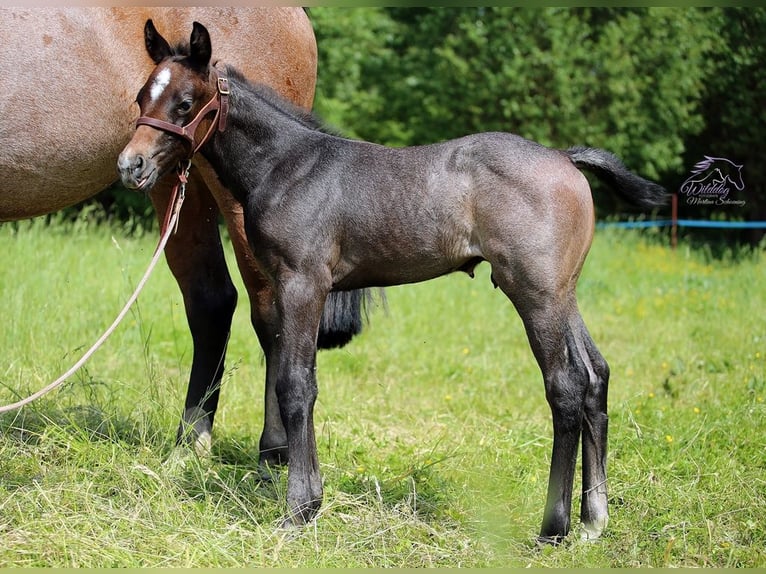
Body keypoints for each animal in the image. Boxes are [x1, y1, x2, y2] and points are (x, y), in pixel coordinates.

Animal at [0, 8, 371, 469]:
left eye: (185, 102)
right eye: (140, 98)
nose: (129, 164)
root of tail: (296, 12)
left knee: (269, 310)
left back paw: (273, 452)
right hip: (181, 184)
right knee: (212, 300)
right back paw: (192, 442)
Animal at [117, 21, 668, 544]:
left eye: (185, 102)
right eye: (141, 97)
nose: (130, 165)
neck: (287, 167)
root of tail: (565, 157)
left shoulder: (303, 283)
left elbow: (295, 385)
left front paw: (300, 509)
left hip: (536, 294)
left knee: (567, 384)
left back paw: (553, 529)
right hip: (562, 293)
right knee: (596, 374)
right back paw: (593, 522)